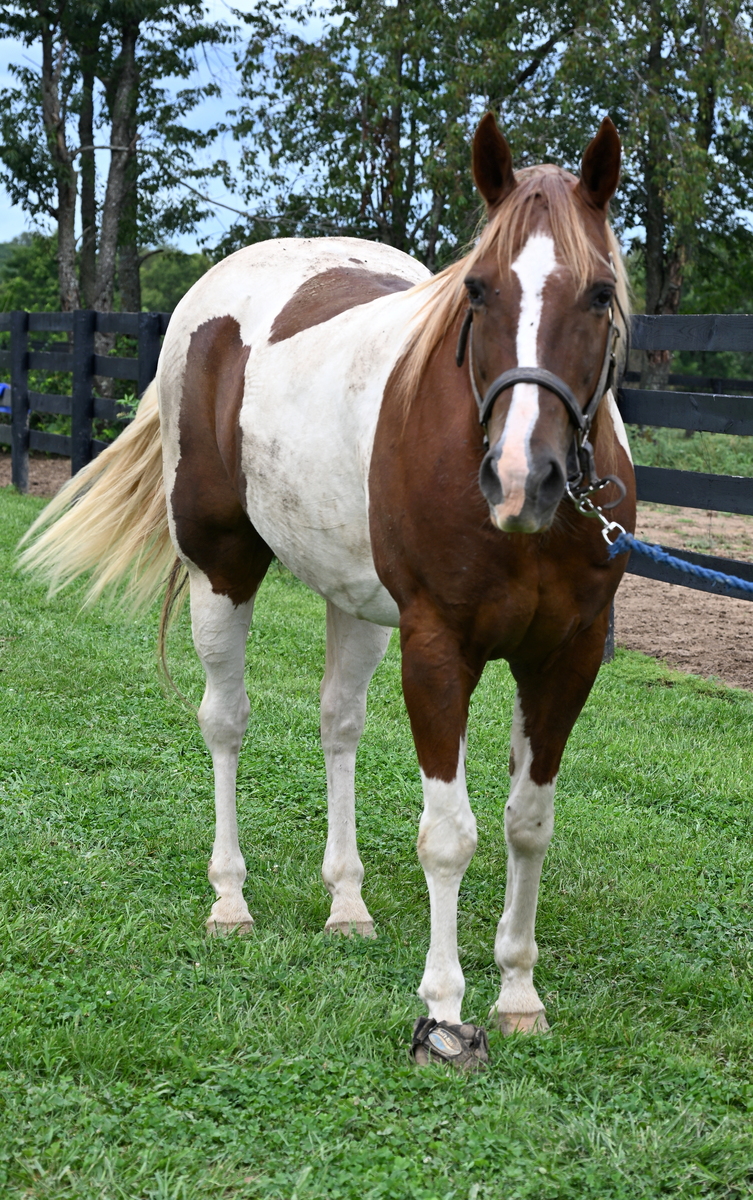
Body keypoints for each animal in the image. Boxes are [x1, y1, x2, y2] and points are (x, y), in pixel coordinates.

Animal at [21, 112, 636, 1069]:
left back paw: (346, 904)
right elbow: (448, 836)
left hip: (355, 604)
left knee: (336, 724)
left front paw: (518, 994)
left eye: (600, 293)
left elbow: (525, 823)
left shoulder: (563, 659)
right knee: (225, 722)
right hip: (222, 572)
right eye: (479, 290)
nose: (518, 480)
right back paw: (229, 900)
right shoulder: (438, 649)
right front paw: (444, 1010)